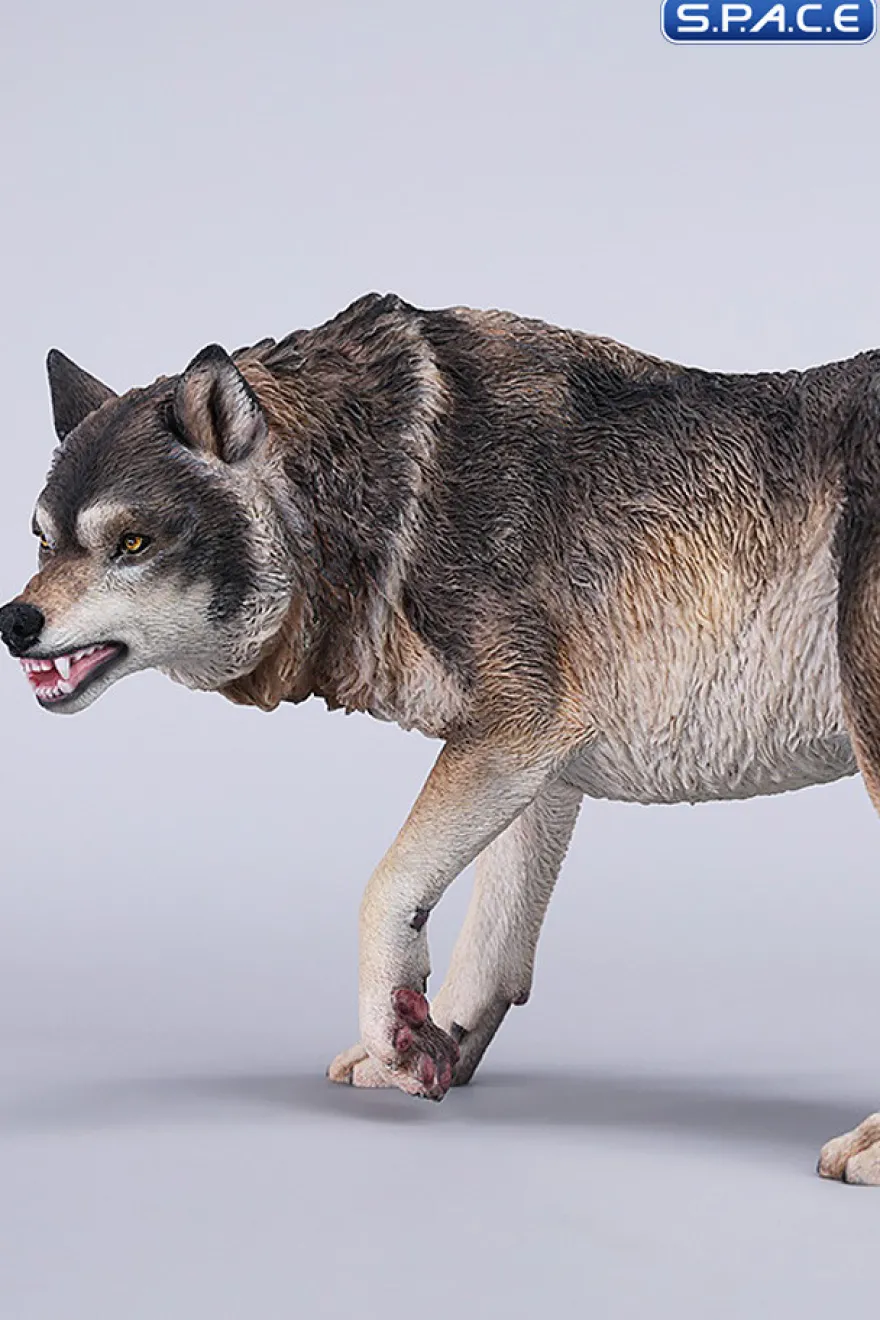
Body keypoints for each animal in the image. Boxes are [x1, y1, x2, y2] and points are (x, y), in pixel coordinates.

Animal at [2, 293, 880, 1182]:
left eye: (131, 543)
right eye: (44, 540)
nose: (14, 621)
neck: (375, 498)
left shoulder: (518, 729)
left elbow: (385, 888)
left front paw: (393, 1032)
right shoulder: (545, 763)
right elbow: (492, 940)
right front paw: (428, 1042)